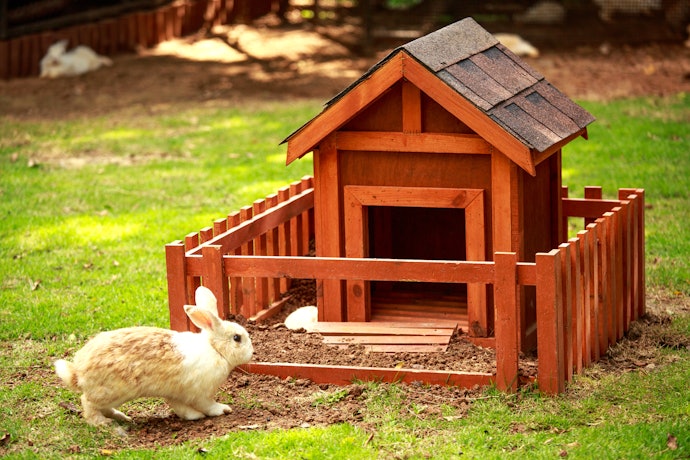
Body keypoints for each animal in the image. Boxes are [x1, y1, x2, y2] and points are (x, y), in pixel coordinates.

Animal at [54, 286, 253, 426]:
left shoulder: (176, 394)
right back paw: (103, 423)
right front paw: (223, 410)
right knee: (87, 403)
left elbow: (182, 409)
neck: (215, 349)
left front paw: (193, 416)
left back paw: (123, 417)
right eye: (237, 338)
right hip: (109, 392)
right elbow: (208, 405)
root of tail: (78, 373)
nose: (252, 352)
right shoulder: (199, 393)